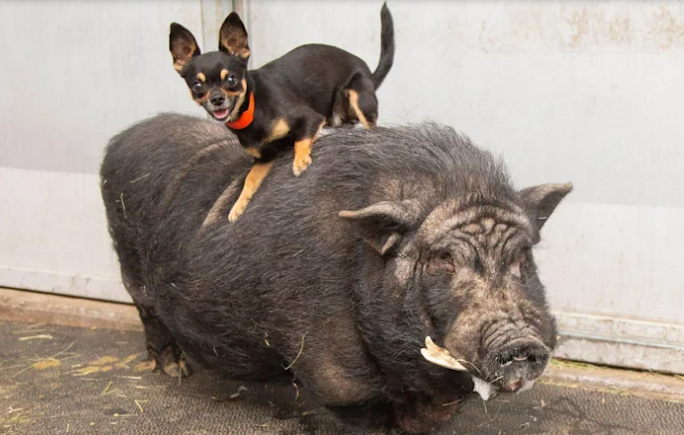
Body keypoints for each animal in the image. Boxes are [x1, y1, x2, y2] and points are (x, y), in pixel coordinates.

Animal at [100, 114, 572, 434]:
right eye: (444, 259)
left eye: (522, 256)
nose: (521, 341)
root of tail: (121, 138)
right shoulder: (333, 367)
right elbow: (362, 410)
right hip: (128, 262)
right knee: (148, 313)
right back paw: (174, 371)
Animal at [170, 2, 396, 221]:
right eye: (197, 86)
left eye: (231, 79)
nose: (217, 99)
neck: (252, 109)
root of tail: (368, 72)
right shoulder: (265, 158)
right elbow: (250, 179)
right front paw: (239, 204)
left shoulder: (311, 117)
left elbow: (300, 140)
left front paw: (300, 160)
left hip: (360, 98)